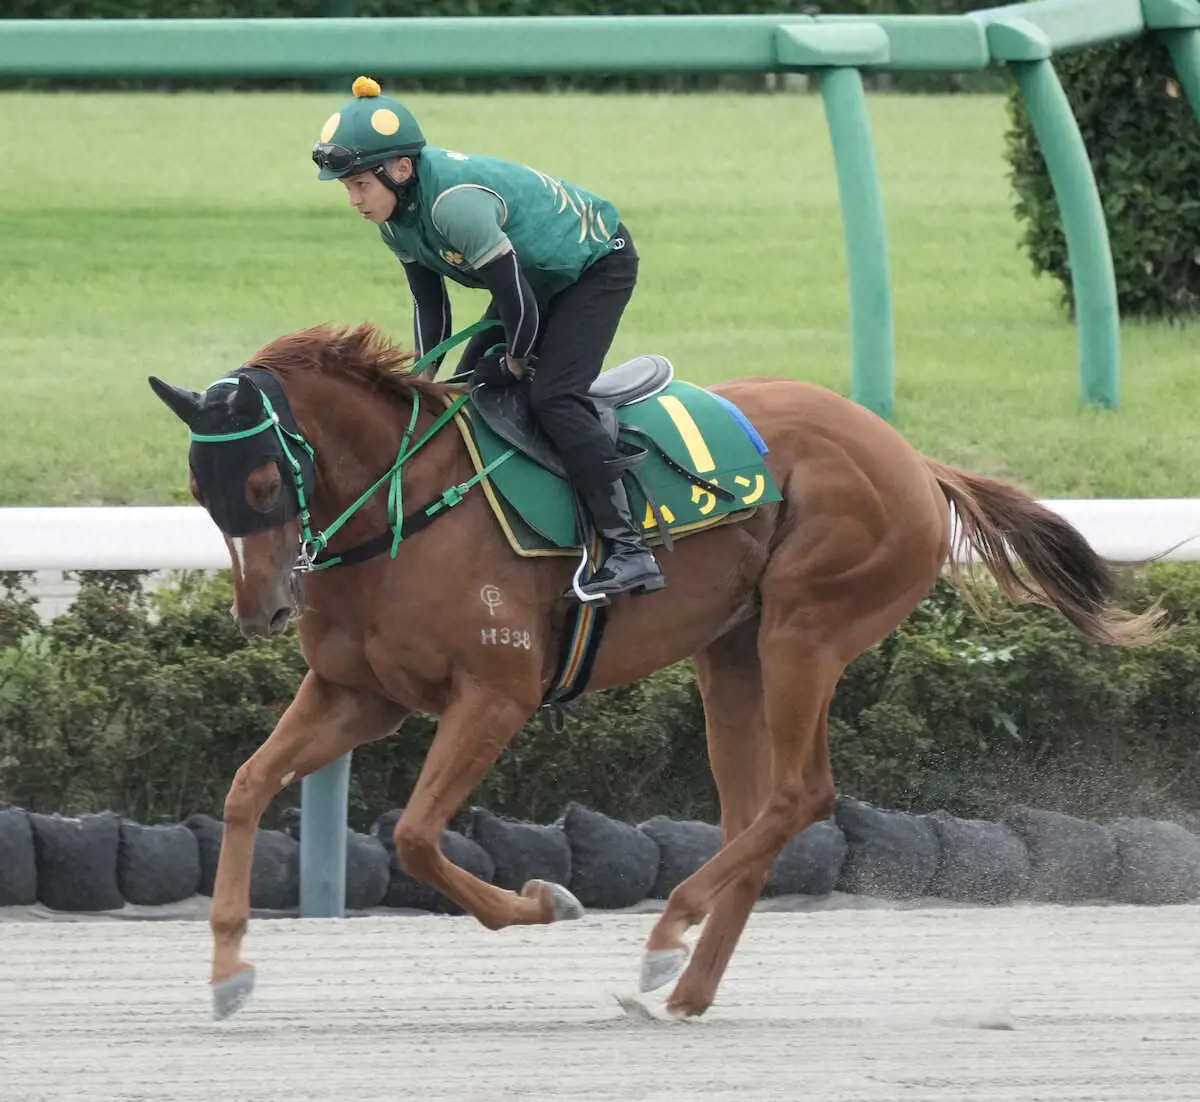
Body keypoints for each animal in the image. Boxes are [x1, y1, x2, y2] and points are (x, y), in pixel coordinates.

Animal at [147, 324, 1161, 1022]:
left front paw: (544, 901)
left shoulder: (496, 695)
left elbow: (417, 838)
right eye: (200, 490)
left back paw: (667, 935)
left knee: (802, 794)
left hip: (806, 628)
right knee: (754, 813)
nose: (261, 609)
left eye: (262, 484)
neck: (408, 508)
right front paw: (229, 972)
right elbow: (246, 787)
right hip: (731, 653)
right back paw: (683, 986)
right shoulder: (359, 694)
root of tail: (913, 457)